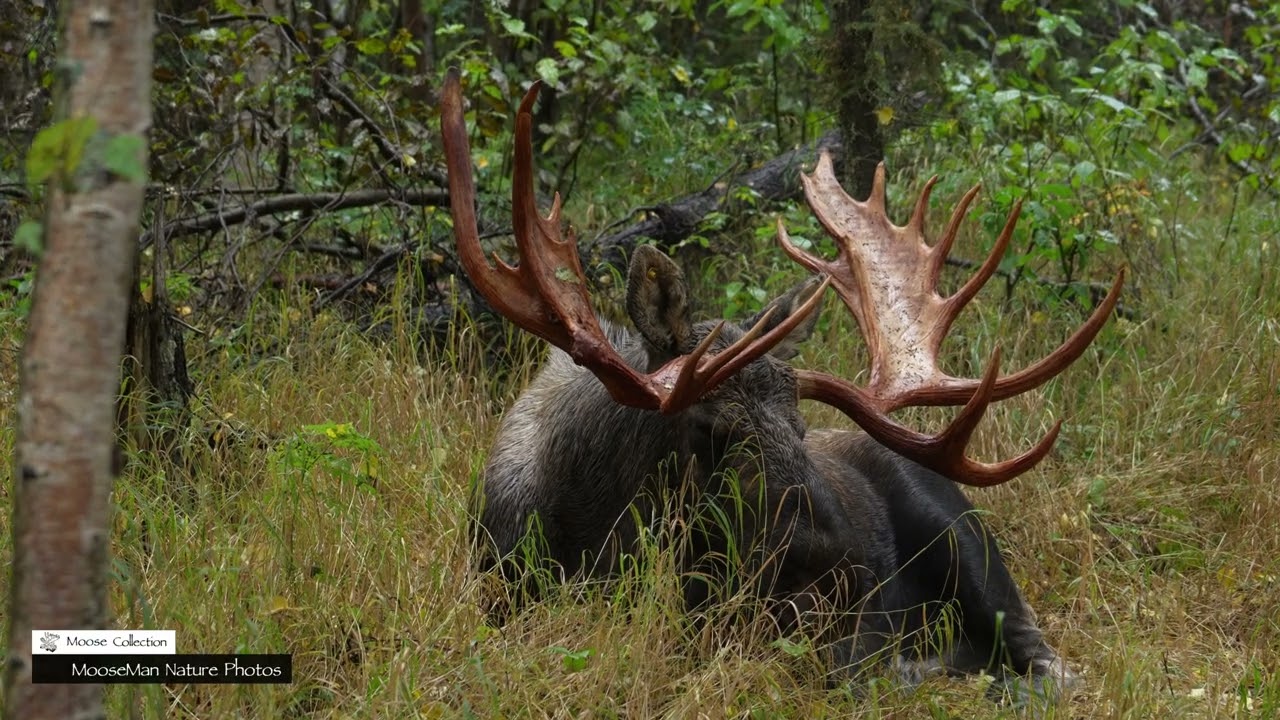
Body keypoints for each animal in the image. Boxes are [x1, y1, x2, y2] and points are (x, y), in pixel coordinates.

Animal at [439, 69, 1124, 702]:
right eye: (710, 429)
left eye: (798, 425)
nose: (842, 570)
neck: (586, 525)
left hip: (970, 549)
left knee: (1053, 666)